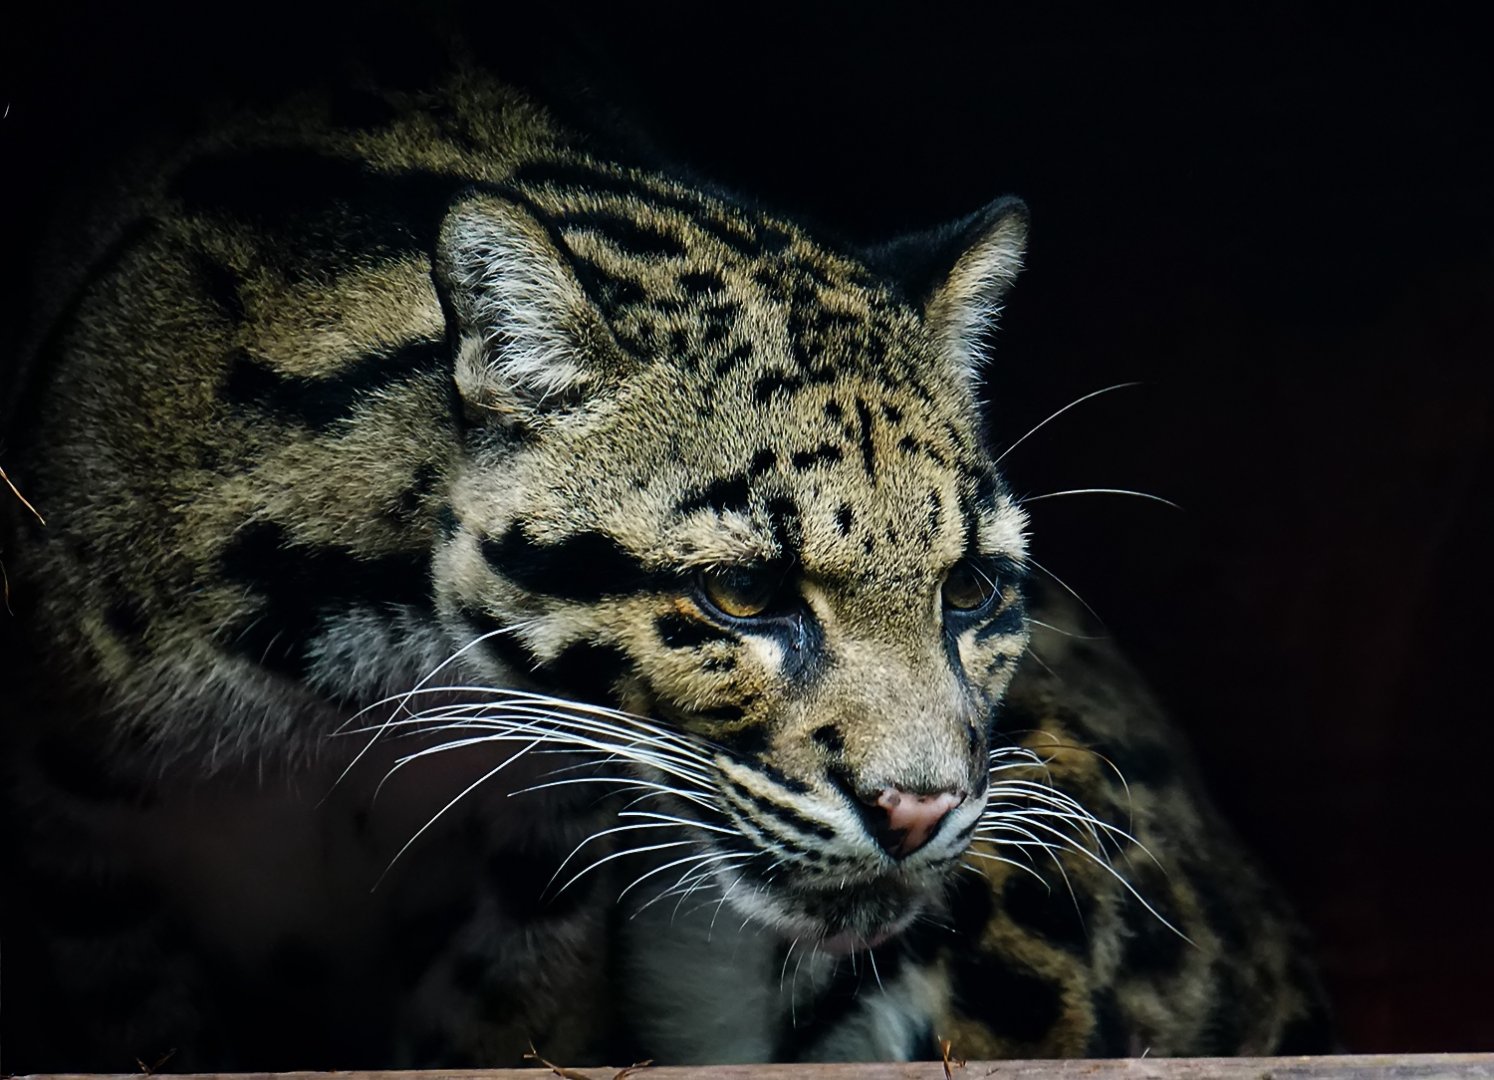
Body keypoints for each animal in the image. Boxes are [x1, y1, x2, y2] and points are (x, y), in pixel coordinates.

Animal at [0, 65, 1330, 1072]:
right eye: (741, 596)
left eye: (971, 592)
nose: (922, 808)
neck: (365, 682)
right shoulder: (80, 858)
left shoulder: (545, 865)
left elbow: (504, 1026)